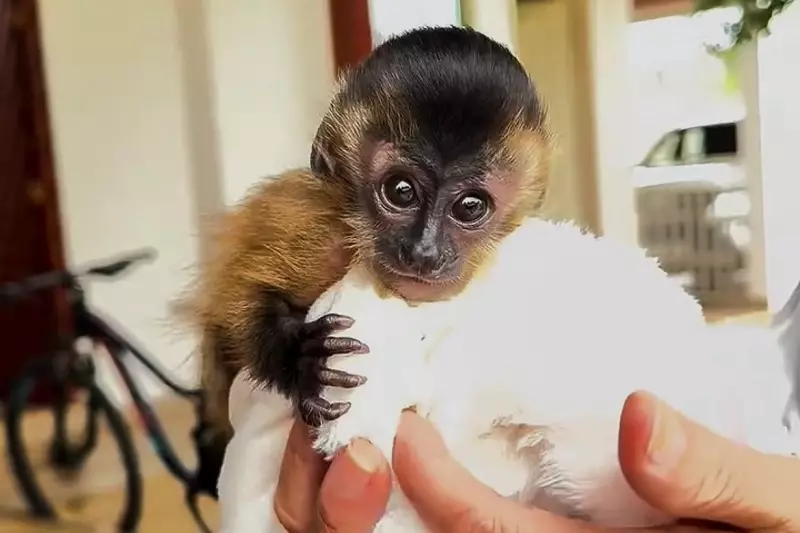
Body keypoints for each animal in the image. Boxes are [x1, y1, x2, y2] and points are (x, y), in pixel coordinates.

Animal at [179, 25, 553, 438]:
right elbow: (232, 296)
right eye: (401, 191)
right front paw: (302, 359)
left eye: (470, 206)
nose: (424, 252)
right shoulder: (321, 229)